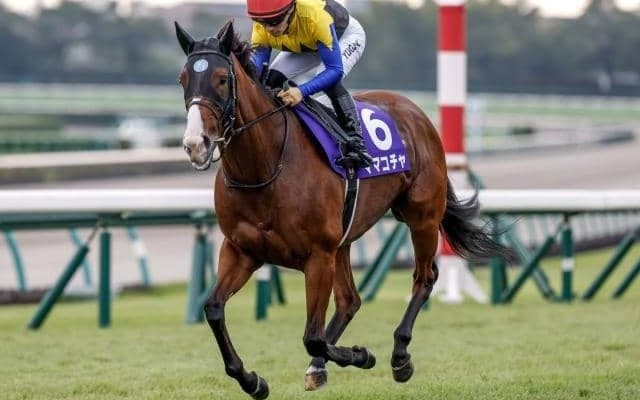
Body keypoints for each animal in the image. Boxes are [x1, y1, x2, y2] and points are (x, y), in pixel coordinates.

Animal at [176, 20, 503, 399]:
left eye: (221, 79)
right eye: (183, 79)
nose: (195, 144)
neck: (265, 167)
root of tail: (414, 112)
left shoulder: (317, 256)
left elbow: (312, 337)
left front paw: (362, 355)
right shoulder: (242, 251)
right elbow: (214, 309)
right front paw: (251, 380)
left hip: (421, 216)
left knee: (424, 277)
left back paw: (399, 356)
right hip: (344, 240)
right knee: (350, 300)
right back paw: (319, 367)